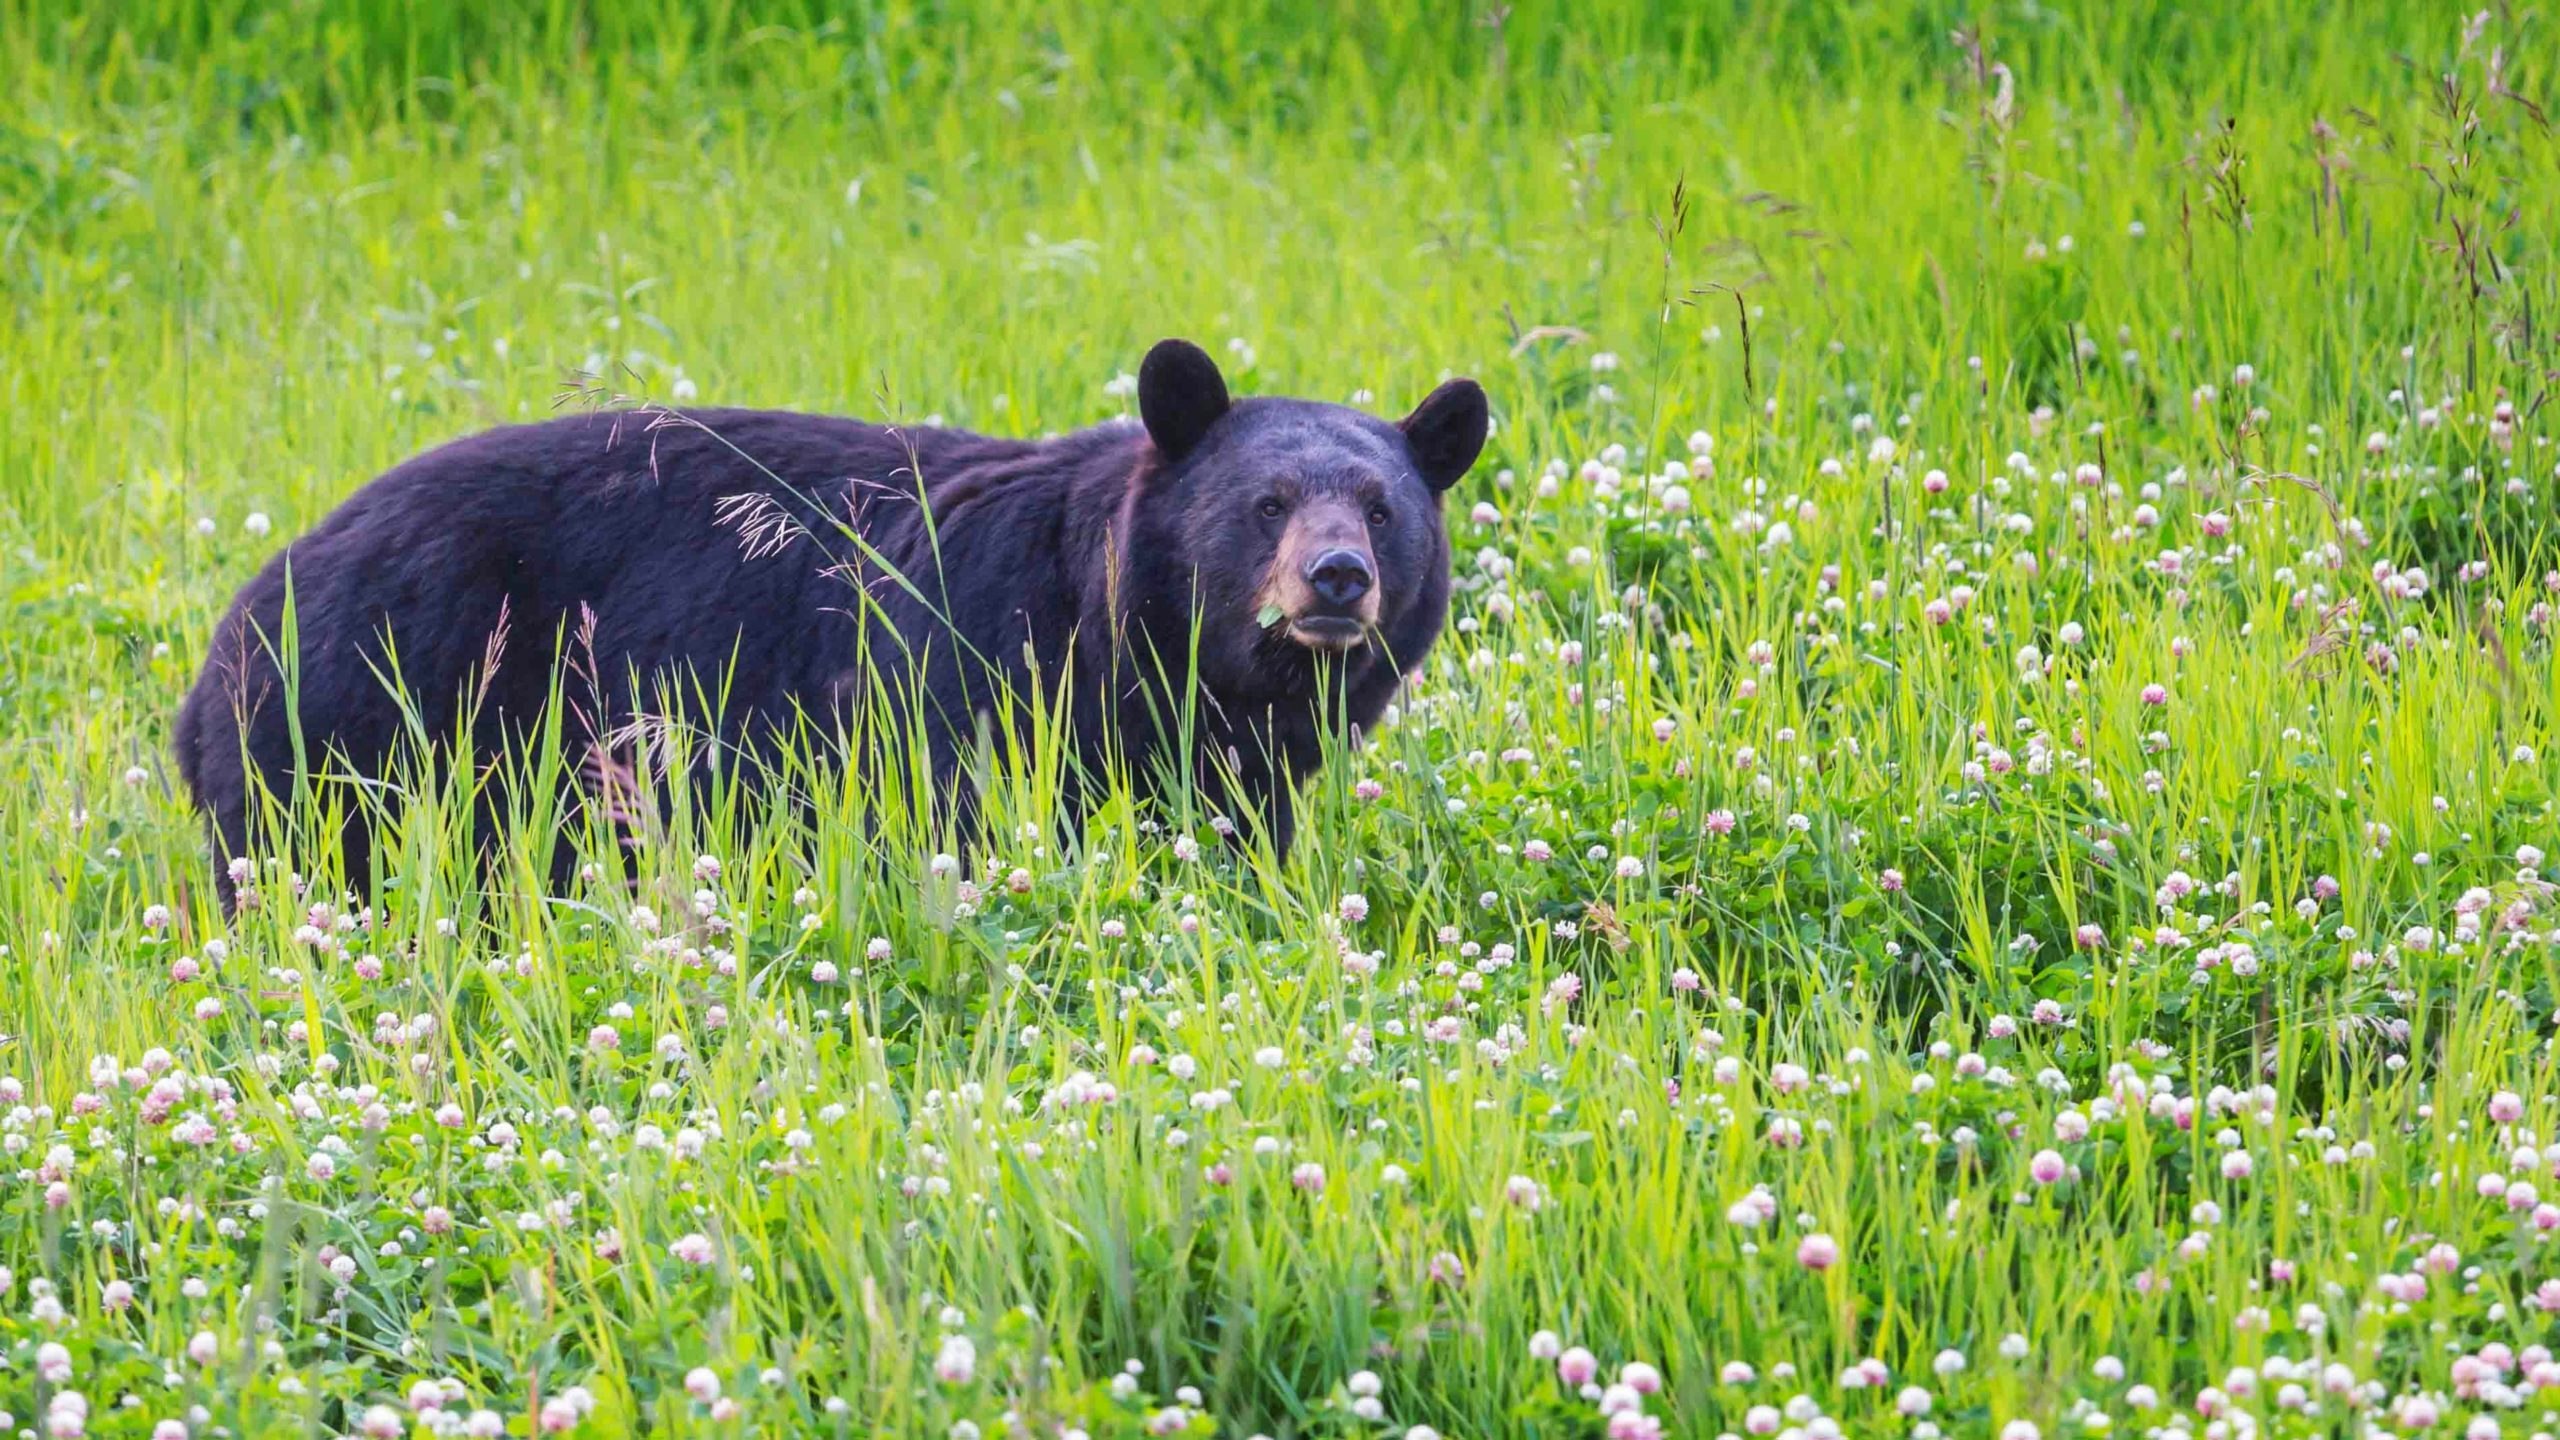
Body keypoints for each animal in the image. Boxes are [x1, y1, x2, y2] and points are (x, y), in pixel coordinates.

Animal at [173, 338, 1488, 909]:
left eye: (1381, 508)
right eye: (1266, 503)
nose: (1335, 579)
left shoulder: (1231, 763)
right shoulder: (971, 676)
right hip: (364, 715)